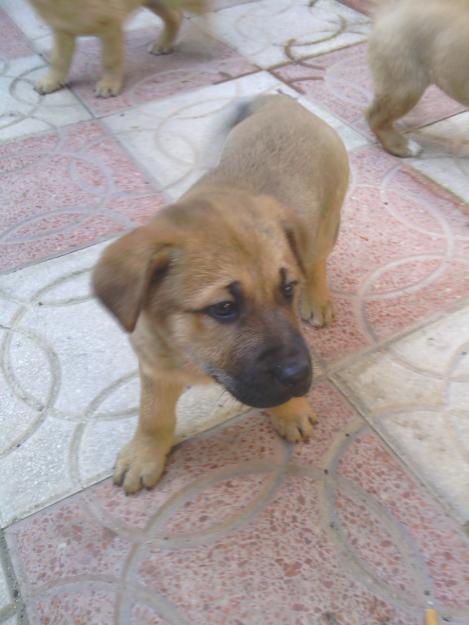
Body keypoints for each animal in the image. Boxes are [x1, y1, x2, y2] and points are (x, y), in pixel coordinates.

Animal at [28, 0, 205, 96]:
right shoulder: (63, 30)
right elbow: (59, 61)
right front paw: (52, 81)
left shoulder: (111, 27)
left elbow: (110, 61)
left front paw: (109, 85)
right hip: (154, 2)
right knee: (175, 15)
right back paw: (163, 44)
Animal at [92, 94, 348, 492]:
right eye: (224, 307)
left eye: (287, 290)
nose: (300, 375)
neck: (194, 355)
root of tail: (283, 102)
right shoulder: (153, 362)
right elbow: (152, 413)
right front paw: (145, 452)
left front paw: (290, 410)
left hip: (325, 223)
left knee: (316, 259)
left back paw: (318, 298)